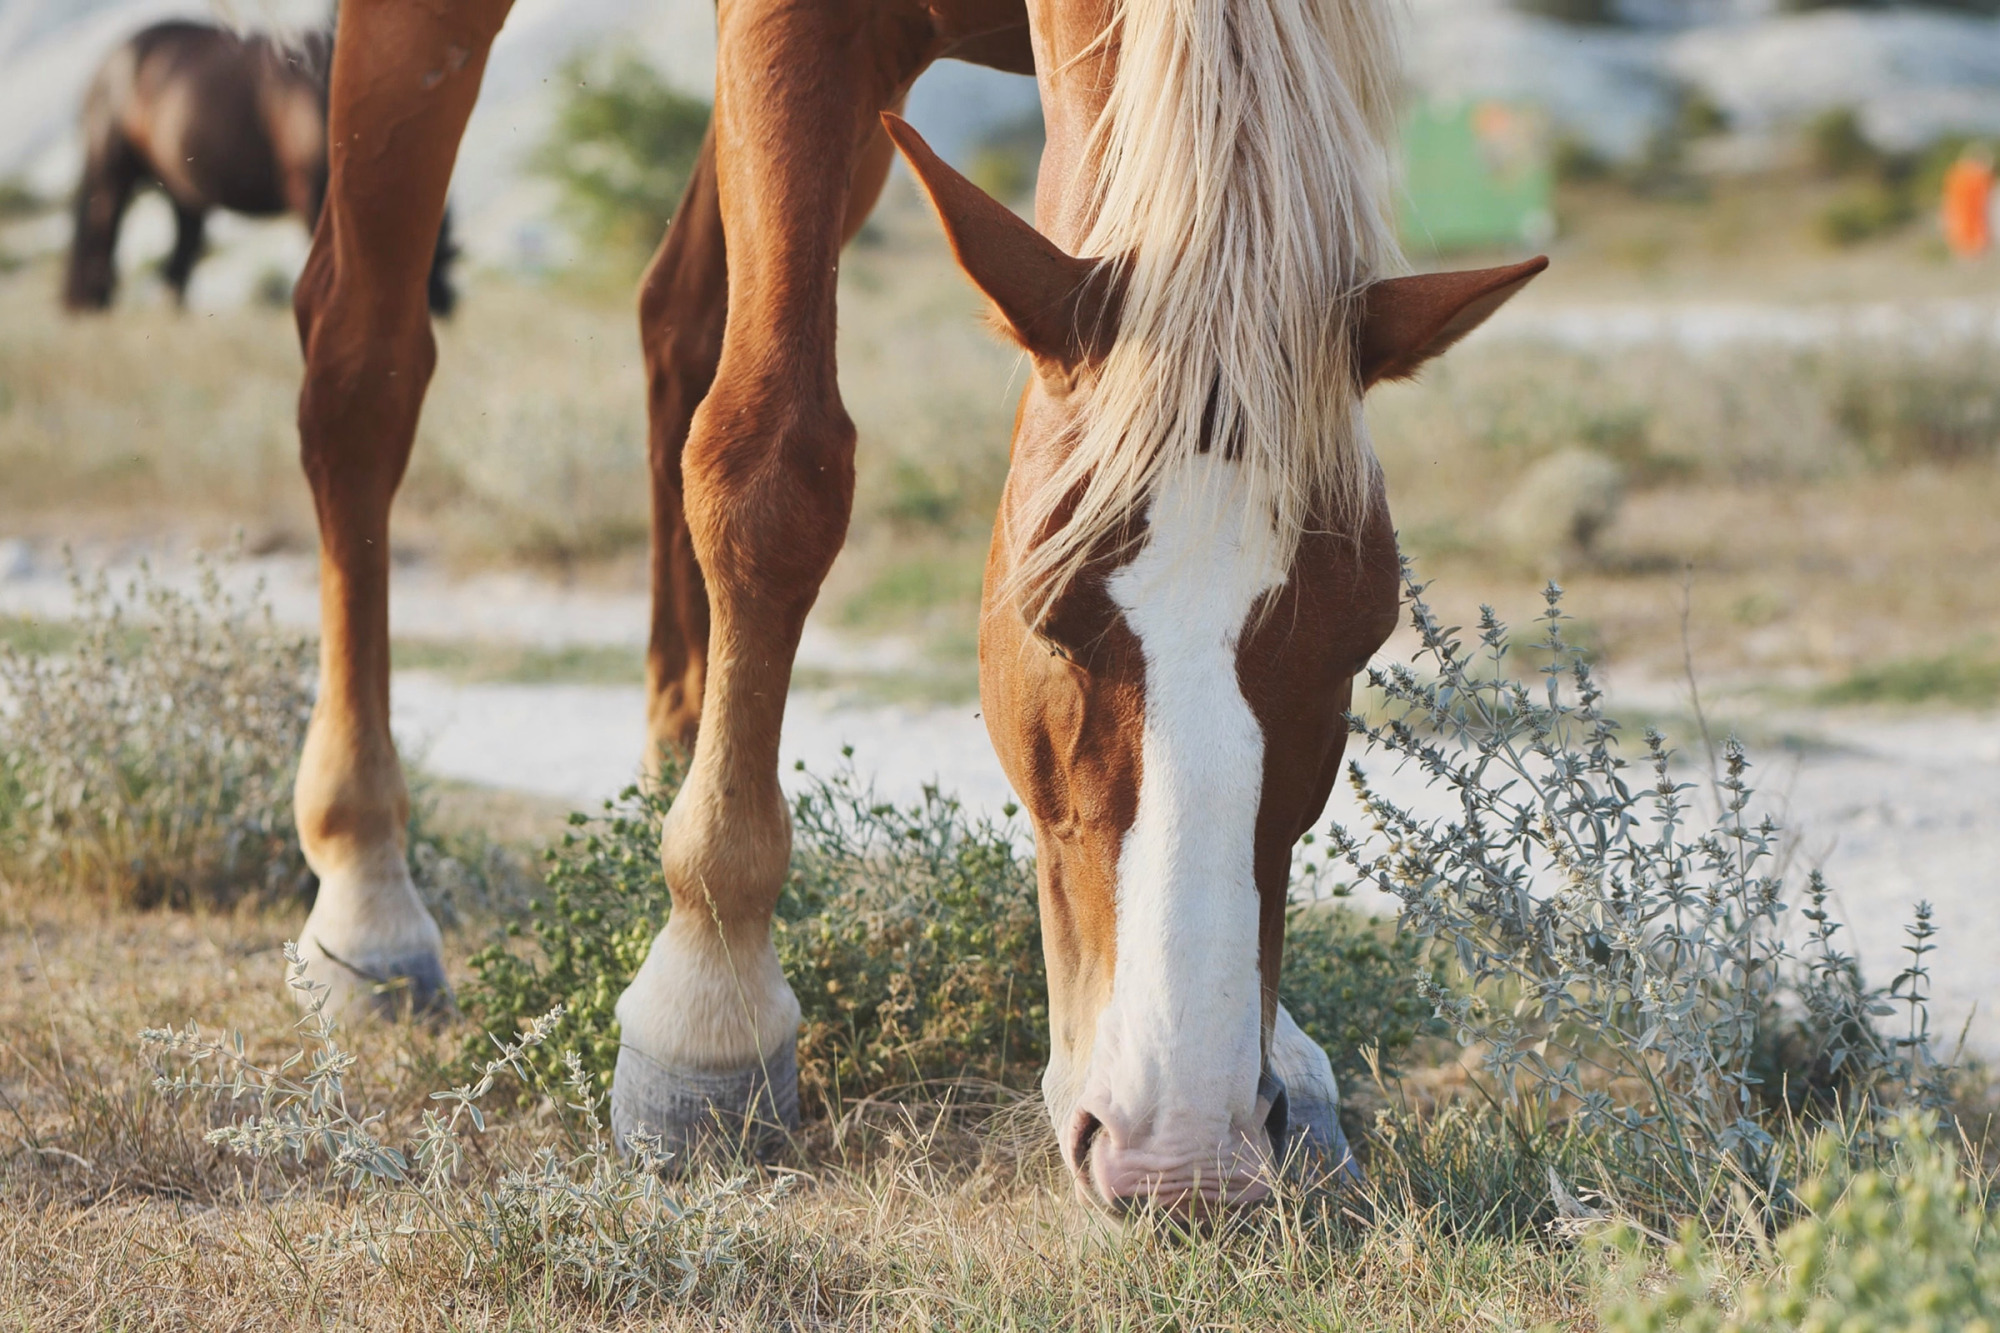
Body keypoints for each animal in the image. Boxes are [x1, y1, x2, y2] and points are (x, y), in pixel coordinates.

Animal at [63, 18, 456, 315]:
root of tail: (110, 62)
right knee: (101, 230)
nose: (444, 306)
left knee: (180, 252)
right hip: (111, 173)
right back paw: (93, 303)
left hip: (181, 189)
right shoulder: (311, 189)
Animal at [285, 0, 1543, 1213]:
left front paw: (1281, 1053)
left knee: (674, 317)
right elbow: (773, 461)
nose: (1180, 1154)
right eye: (1046, 618)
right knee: (362, 362)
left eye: (1362, 637)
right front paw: (707, 1006)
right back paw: (367, 888)